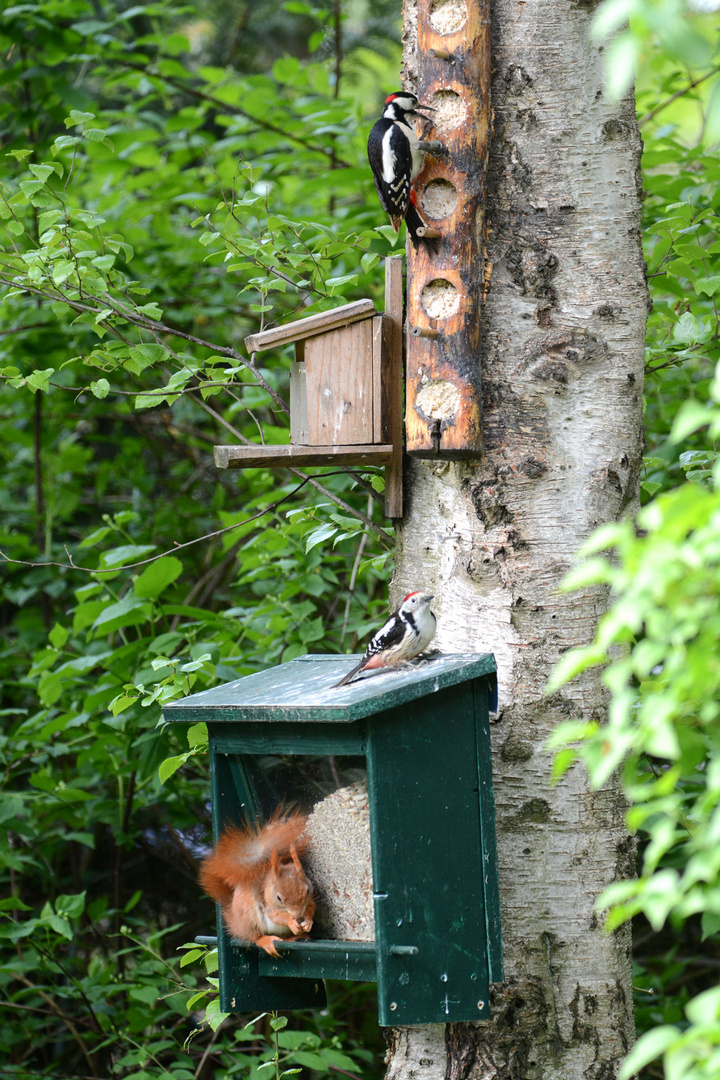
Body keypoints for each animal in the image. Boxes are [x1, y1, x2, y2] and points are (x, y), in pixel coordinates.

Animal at [201, 812, 317, 959]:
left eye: (307, 890)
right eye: (278, 898)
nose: (298, 915)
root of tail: (236, 924)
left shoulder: (310, 901)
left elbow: (312, 908)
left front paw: (307, 921)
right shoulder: (269, 906)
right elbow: (277, 916)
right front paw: (291, 921)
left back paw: (295, 937)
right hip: (249, 919)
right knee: (254, 938)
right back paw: (266, 941)